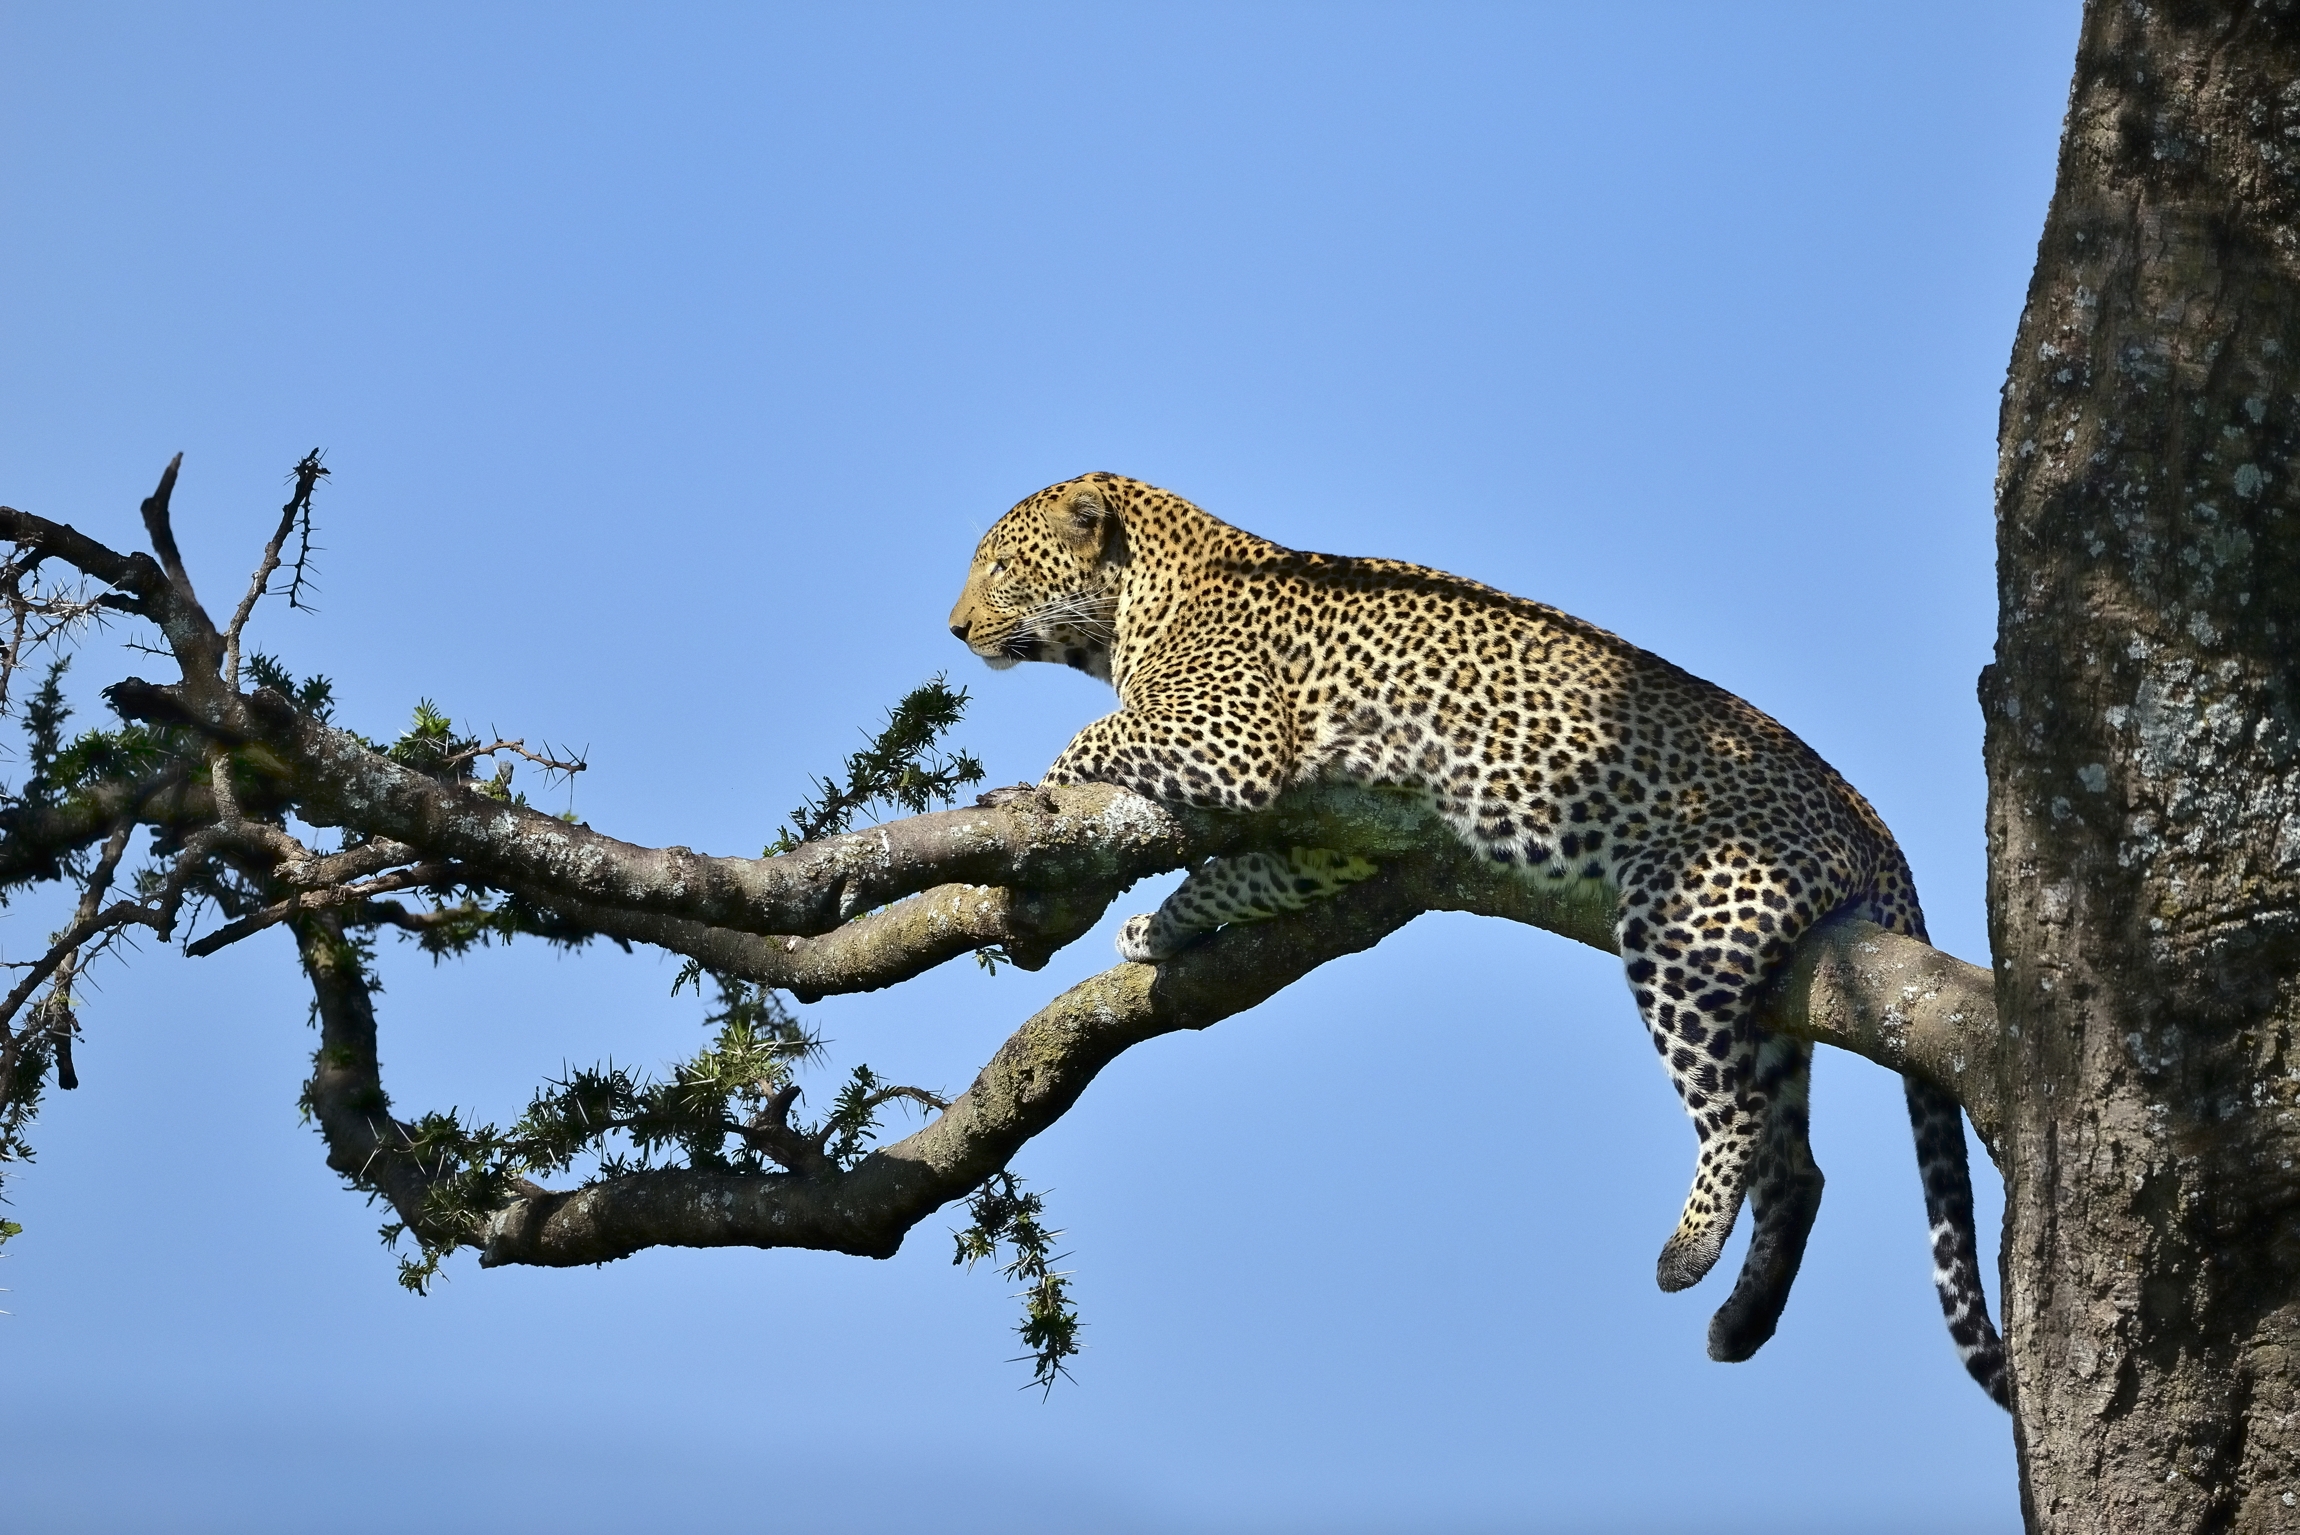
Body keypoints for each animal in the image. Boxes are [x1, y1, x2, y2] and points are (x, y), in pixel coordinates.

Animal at [947, 471, 2010, 1407]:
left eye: (998, 564)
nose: (954, 630)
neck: (1141, 597)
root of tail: (1870, 820)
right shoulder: (1326, 839)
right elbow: (1240, 872)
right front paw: (1154, 926)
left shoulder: (1231, 738)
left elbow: (1093, 739)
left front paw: (1031, 797)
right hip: (1769, 988)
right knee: (1800, 1167)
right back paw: (1740, 1320)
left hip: (1685, 920)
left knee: (1736, 1116)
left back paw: (1686, 1253)